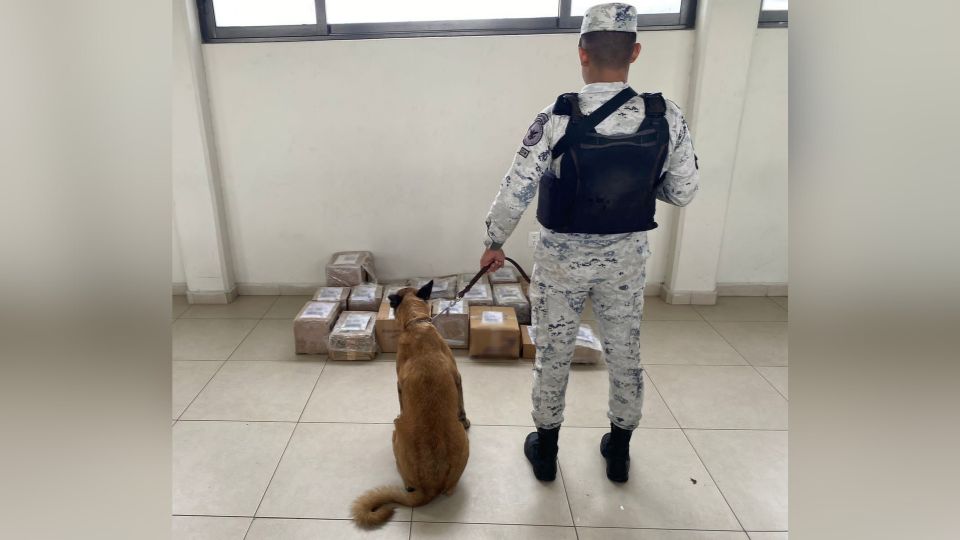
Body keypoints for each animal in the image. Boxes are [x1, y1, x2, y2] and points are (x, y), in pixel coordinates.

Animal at [352, 282, 472, 528]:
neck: (417, 323)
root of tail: (429, 487)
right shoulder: (458, 378)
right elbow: (462, 403)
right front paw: (465, 419)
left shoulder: (398, 384)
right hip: (464, 445)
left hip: (395, 431)